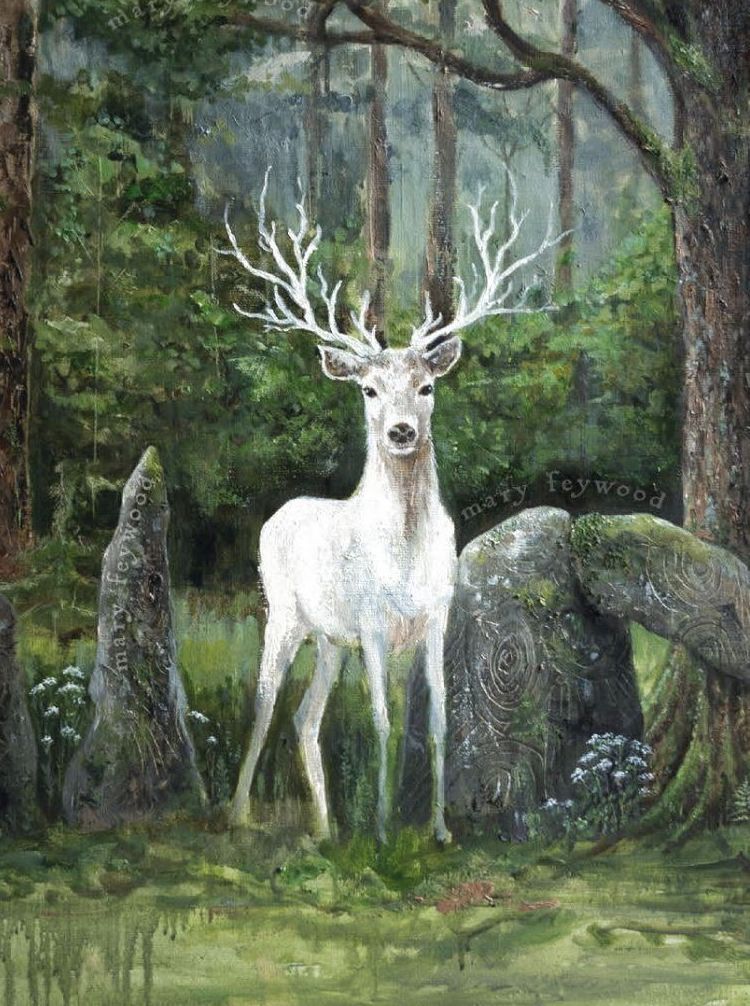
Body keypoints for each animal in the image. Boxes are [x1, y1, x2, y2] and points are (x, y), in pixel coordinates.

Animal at [221, 167, 564, 844]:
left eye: (427, 386)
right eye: (369, 389)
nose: (401, 431)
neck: (403, 557)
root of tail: (277, 515)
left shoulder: (432, 618)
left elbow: (433, 721)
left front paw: (437, 829)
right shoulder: (374, 625)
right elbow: (380, 720)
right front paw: (382, 831)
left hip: (330, 638)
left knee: (305, 717)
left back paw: (326, 828)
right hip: (284, 612)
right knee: (267, 701)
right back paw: (241, 812)